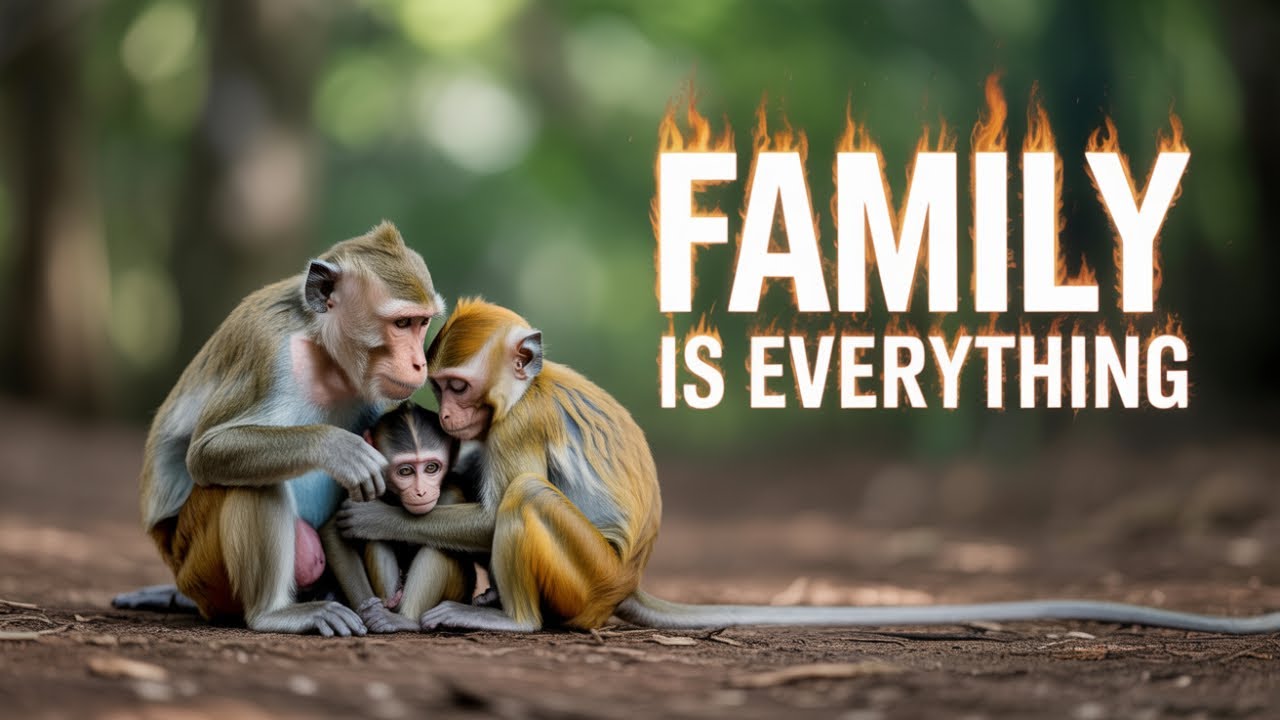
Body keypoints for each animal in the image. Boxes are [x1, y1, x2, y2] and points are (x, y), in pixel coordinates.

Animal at [112, 221, 445, 637]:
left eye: (422, 322)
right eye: (402, 323)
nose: (419, 364)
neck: (322, 348)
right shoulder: (268, 347)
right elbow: (205, 451)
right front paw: (336, 448)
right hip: (198, 567)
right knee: (253, 481)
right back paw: (271, 613)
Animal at [319, 401, 477, 633]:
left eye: (431, 468)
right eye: (405, 471)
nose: (421, 491)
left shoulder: (451, 493)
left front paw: (373, 519)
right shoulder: (361, 476)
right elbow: (332, 529)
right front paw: (368, 608)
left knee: (437, 545)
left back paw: (405, 619)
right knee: (376, 540)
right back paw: (388, 606)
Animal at [337, 299, 1280, 635]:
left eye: (457, 384)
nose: (453, 416)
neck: (512, 397)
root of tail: (632, 578)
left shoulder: (518, 425)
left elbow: (505, 499)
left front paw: (376, 514)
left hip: (588, 577)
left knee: (531, 504)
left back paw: (516, 623)